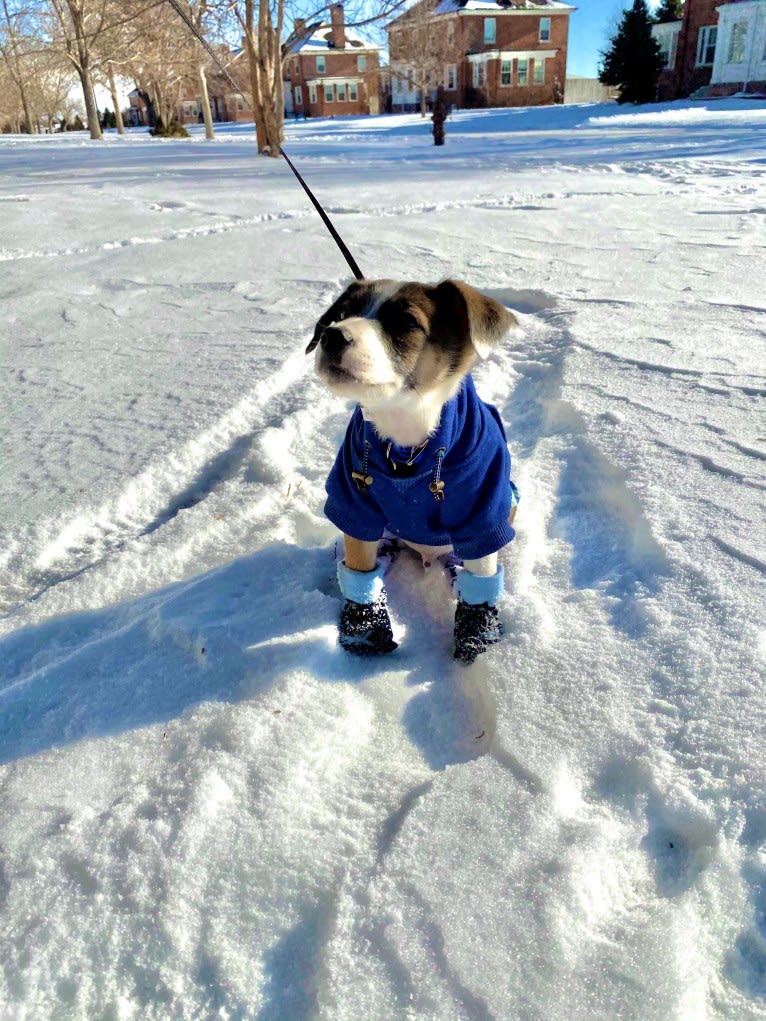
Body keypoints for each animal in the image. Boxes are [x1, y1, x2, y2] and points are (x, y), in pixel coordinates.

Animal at [308, 279, 522, 661]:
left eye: (406, 322)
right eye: (342, 313)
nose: (333, 335)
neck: (406, 438)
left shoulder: (483, 512)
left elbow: (482, 569)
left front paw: (477, 632)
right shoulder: (353, 501)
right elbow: (360, 564)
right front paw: (364, 630)